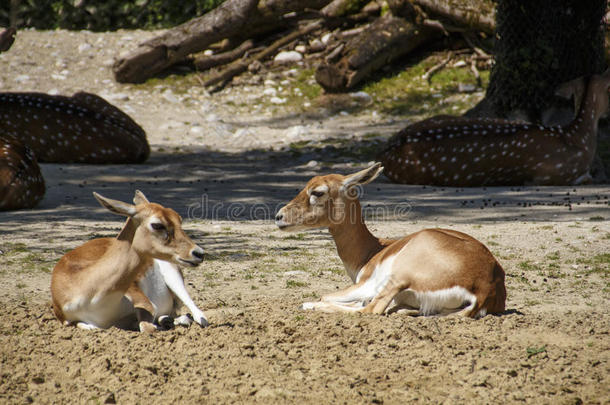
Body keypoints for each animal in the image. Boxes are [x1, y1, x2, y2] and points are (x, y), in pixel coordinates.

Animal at [50, 189, 207, 332]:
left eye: (179, 220)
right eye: (157, 224)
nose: (199, 253)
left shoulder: (140, 298)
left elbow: (148, 324)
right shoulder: (67, 319)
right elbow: (91, 327)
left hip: (172, 274)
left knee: (199, 316)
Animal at [274, 163, 504, 316]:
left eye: (318, 192)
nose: (279, 216)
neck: (373, 251)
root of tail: (485, 286)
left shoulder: (367, 284)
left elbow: (333, 297)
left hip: (395, 279)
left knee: (371, 310)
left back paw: (310, 305)